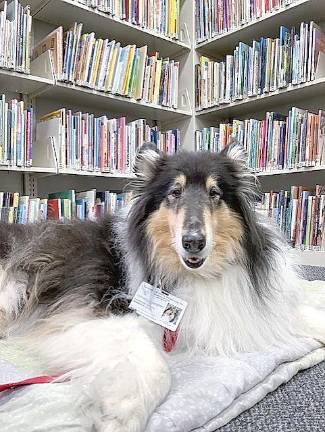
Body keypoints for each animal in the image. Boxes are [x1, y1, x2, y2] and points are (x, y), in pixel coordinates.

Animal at [0, 140, 322, 430]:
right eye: (174, 193)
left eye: (214, 193)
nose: (193, 242)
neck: (194, 274)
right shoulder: (93, 314)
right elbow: (156, 366)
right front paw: (121, 415)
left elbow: (302, 313)